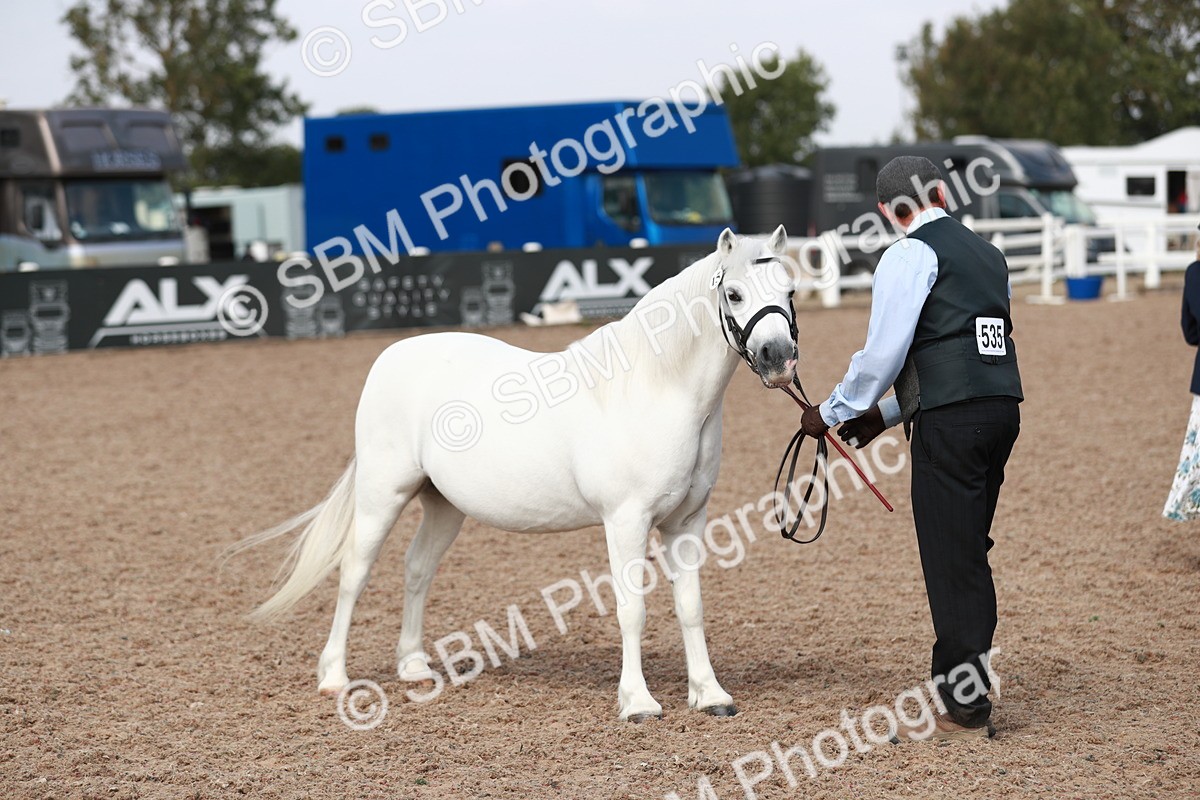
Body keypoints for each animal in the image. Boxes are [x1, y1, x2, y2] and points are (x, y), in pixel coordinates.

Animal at [237, 225, 799, 722]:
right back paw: (334, 677)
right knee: (355, 572)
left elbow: (691, 607)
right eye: (733, 293)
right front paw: (638, 703)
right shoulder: (626, 520)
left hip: (442, 505)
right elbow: (631, 609)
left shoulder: (687, 521)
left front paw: (710, 696)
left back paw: (414, 667)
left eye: (790, 289)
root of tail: (392, 356)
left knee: (417, 569)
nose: (778, 358)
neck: (655, 390)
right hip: (383, 493)